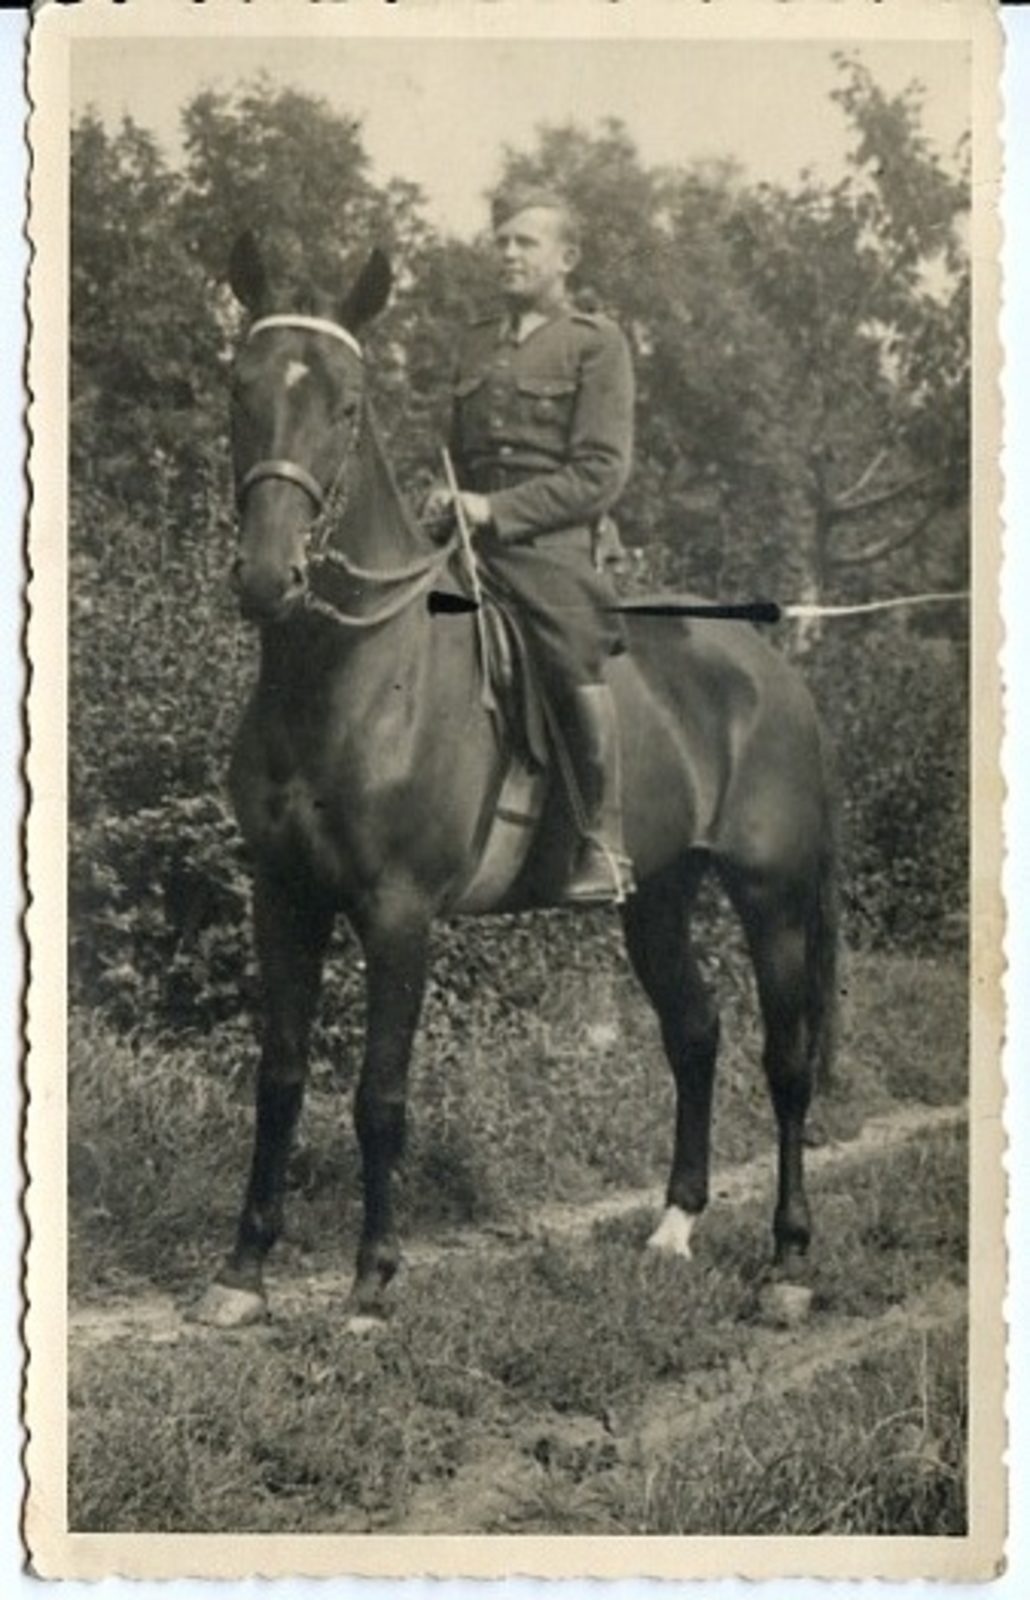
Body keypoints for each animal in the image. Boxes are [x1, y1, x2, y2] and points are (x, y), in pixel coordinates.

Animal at [194, 232, 839, 1329]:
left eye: (348, 404)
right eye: (241, 388)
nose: (269, 576)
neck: (356, 675)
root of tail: (775, 669)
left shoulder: (398, 911)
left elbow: (379, 1093)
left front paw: (372, 1280)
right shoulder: (281, 897)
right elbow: (277, 1079)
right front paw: (242, 1272)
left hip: (771, 896)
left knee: (784, 1063)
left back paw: (788, 1263)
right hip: (655, 896)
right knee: (695, 1034)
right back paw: (673, 1226)